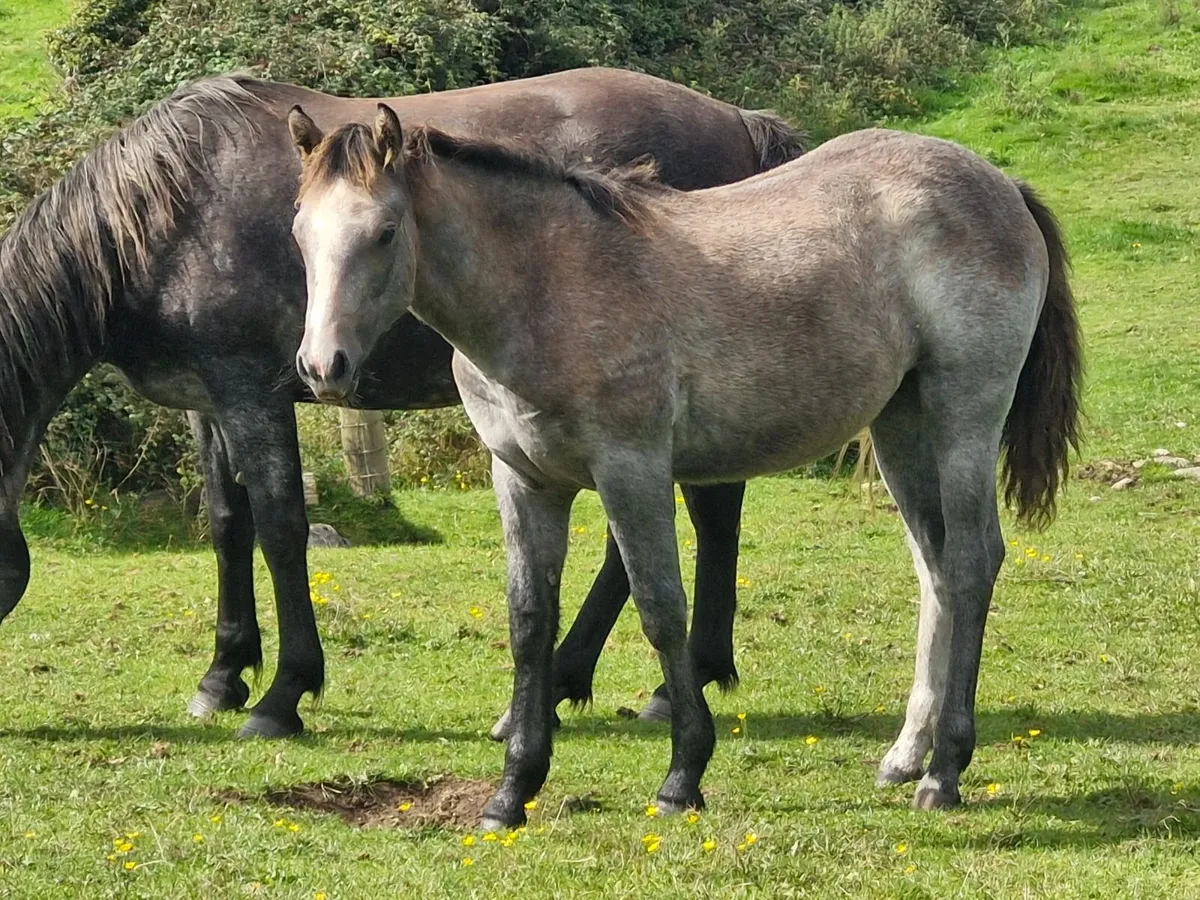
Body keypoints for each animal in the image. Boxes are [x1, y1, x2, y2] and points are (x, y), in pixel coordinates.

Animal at [0, 69, 804, 739]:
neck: (173, 211)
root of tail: (737, 119)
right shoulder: (207, 400)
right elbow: (227, 525)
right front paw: (222, 677)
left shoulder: (254, 395)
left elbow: (281, 528)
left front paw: (282, 695)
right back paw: (582, 678)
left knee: (707, 514)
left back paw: (667, 687)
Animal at [287, 105, 1082, 828]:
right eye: (299, 231)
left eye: (385, 232)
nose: (323, 367)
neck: (548, 288)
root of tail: (1001, 185)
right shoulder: (524, 481)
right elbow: (528, 621)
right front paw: (512, 791)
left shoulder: (631, 469)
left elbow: (660, 609)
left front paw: (682, 776)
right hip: (900, 427)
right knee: (936, 569)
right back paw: (906, 755)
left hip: (963, 414)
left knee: (974, 561)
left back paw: (945, 771)